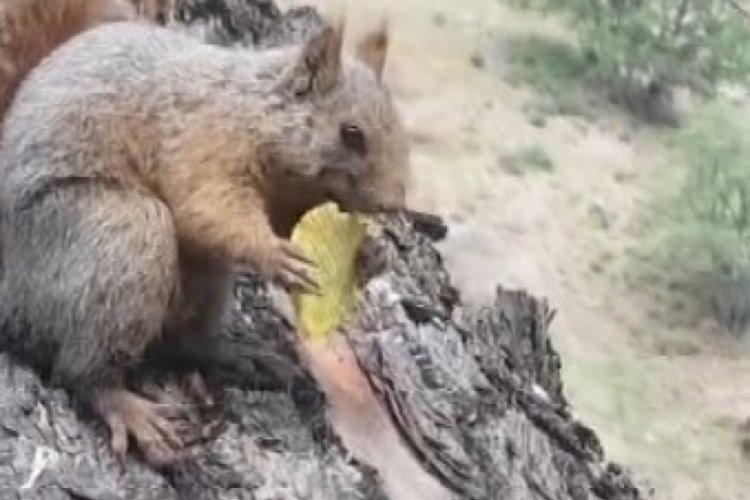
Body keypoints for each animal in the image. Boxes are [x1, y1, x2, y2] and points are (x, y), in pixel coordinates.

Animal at [0, 0, 412, 468]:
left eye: (401, 129)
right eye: (351, 134)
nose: (394, 203)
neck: (255, 111)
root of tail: (10, 291)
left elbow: (276, 223)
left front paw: (371, 256)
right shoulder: (204, 141)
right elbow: (205, 207)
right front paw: (273, 254)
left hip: (205, 280)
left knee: (183, 342)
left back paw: (236, 356)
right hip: (119, 235)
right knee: (79, 370)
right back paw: (126, 408)